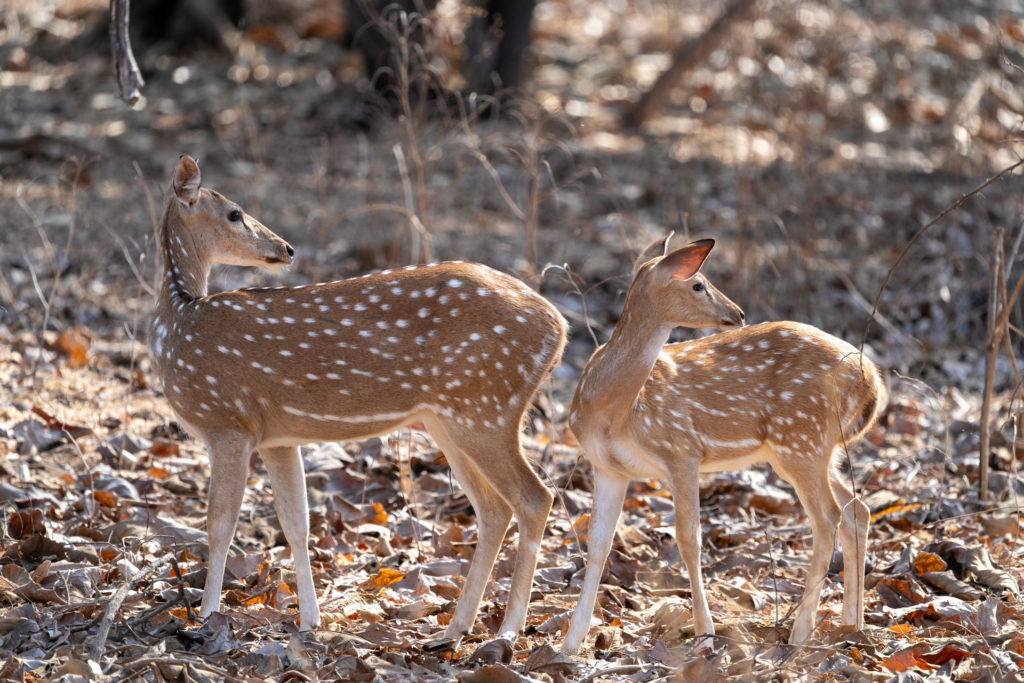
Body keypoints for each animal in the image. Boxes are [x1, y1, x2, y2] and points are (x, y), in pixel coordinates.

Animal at [148, 155, 568, 644]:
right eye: (234, 212)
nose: (286, 249)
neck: (177, 323)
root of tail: (559, 327)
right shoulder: (276, 438)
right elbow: (296, 524)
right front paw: (309, 620)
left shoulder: (226, 423)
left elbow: (218, 526)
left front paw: (205, 617)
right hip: (452, 419)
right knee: (494, 509)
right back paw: (453, 629)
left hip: (487, 410)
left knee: (535, 498)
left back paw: (509, 629)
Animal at [561, 236, 886, 653]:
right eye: (698, 284)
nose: (738, 312)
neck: (615, 410)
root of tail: (872, 379)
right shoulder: (608, 467)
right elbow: (598, 544)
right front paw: (571, 641)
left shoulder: (681, 449)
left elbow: (689, 539)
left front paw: (705, 632)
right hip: (818, 449)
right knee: (856, 509)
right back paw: (851, 624)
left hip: (801, 439)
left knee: (828, 517)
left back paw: (801, 632)